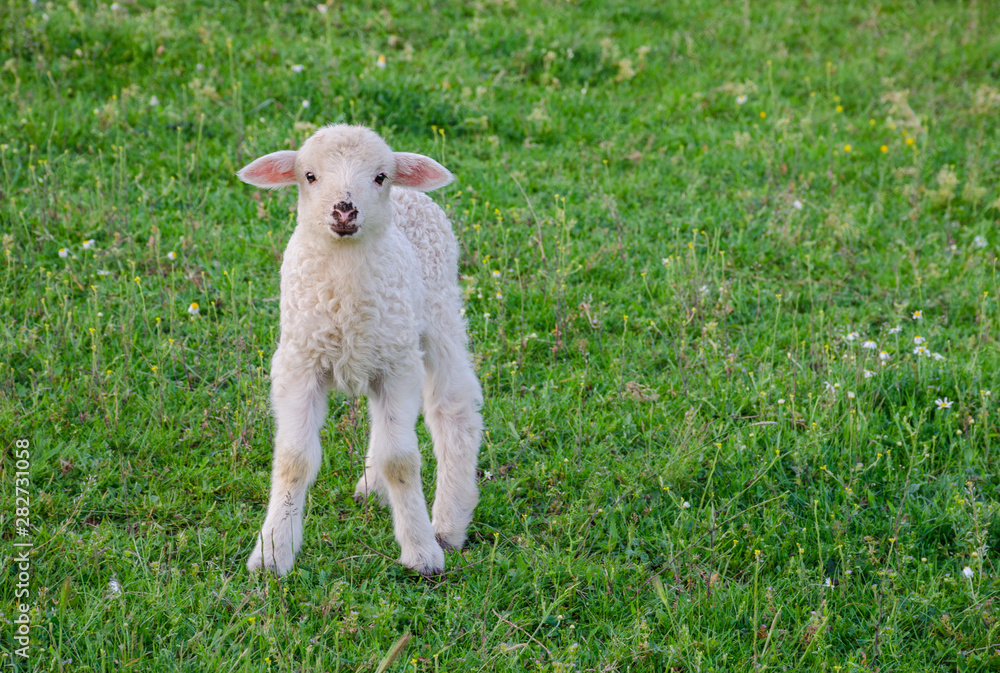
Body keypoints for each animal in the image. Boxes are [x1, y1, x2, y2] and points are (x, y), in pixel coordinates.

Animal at [237, 124, 483, 576]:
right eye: (310, 176)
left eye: (380, 176)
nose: (344, 211)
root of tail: (410, 196)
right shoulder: (300, 362)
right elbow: (294, 460)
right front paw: (273, 553)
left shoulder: (398, 367)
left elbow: (400, 460)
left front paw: (422, 552)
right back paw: (372, 487)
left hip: (437, 317)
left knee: (453, 411)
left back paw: (447, 524)